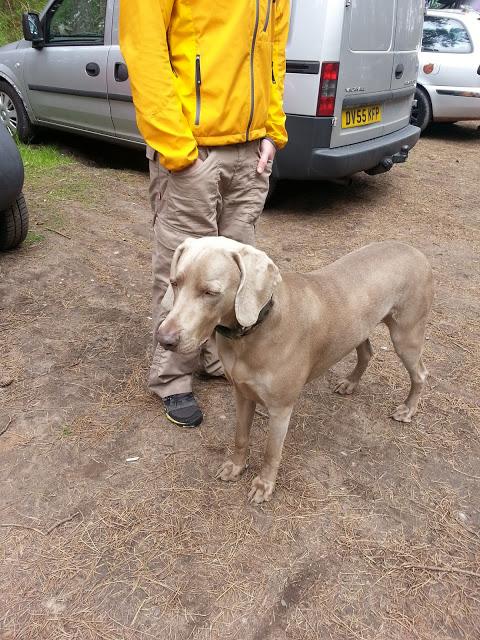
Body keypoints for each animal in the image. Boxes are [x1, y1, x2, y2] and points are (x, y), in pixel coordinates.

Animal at [158, 238, 436, 502]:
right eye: (174, 282)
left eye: (210, 292)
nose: (164, 339)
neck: (255, 328)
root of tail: (415, 251)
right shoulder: (242, 392)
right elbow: (240, 436)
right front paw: (236, 467)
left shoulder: (281, 408)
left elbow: (271, 452)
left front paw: (264, 486)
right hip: (359, 328)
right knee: (366, 352)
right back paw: (349, 383)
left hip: (406, 334)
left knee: (420, 373)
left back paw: (407, 409)